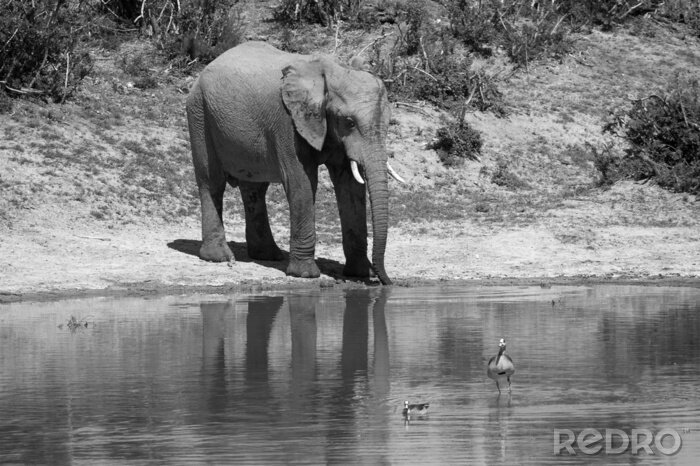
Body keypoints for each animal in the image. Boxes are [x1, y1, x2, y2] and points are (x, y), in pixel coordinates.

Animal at [186, 41, 403, 285]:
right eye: (349, 122)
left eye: (388, 122)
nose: (388, 283)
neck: (331, 72)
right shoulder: (287, 120)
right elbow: (302, 183)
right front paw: (306, 275)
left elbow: (350, 187)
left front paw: (359, 274)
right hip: (199, 113)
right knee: (211, 182)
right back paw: (219, 257)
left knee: (254, 189)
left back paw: (268, 255)